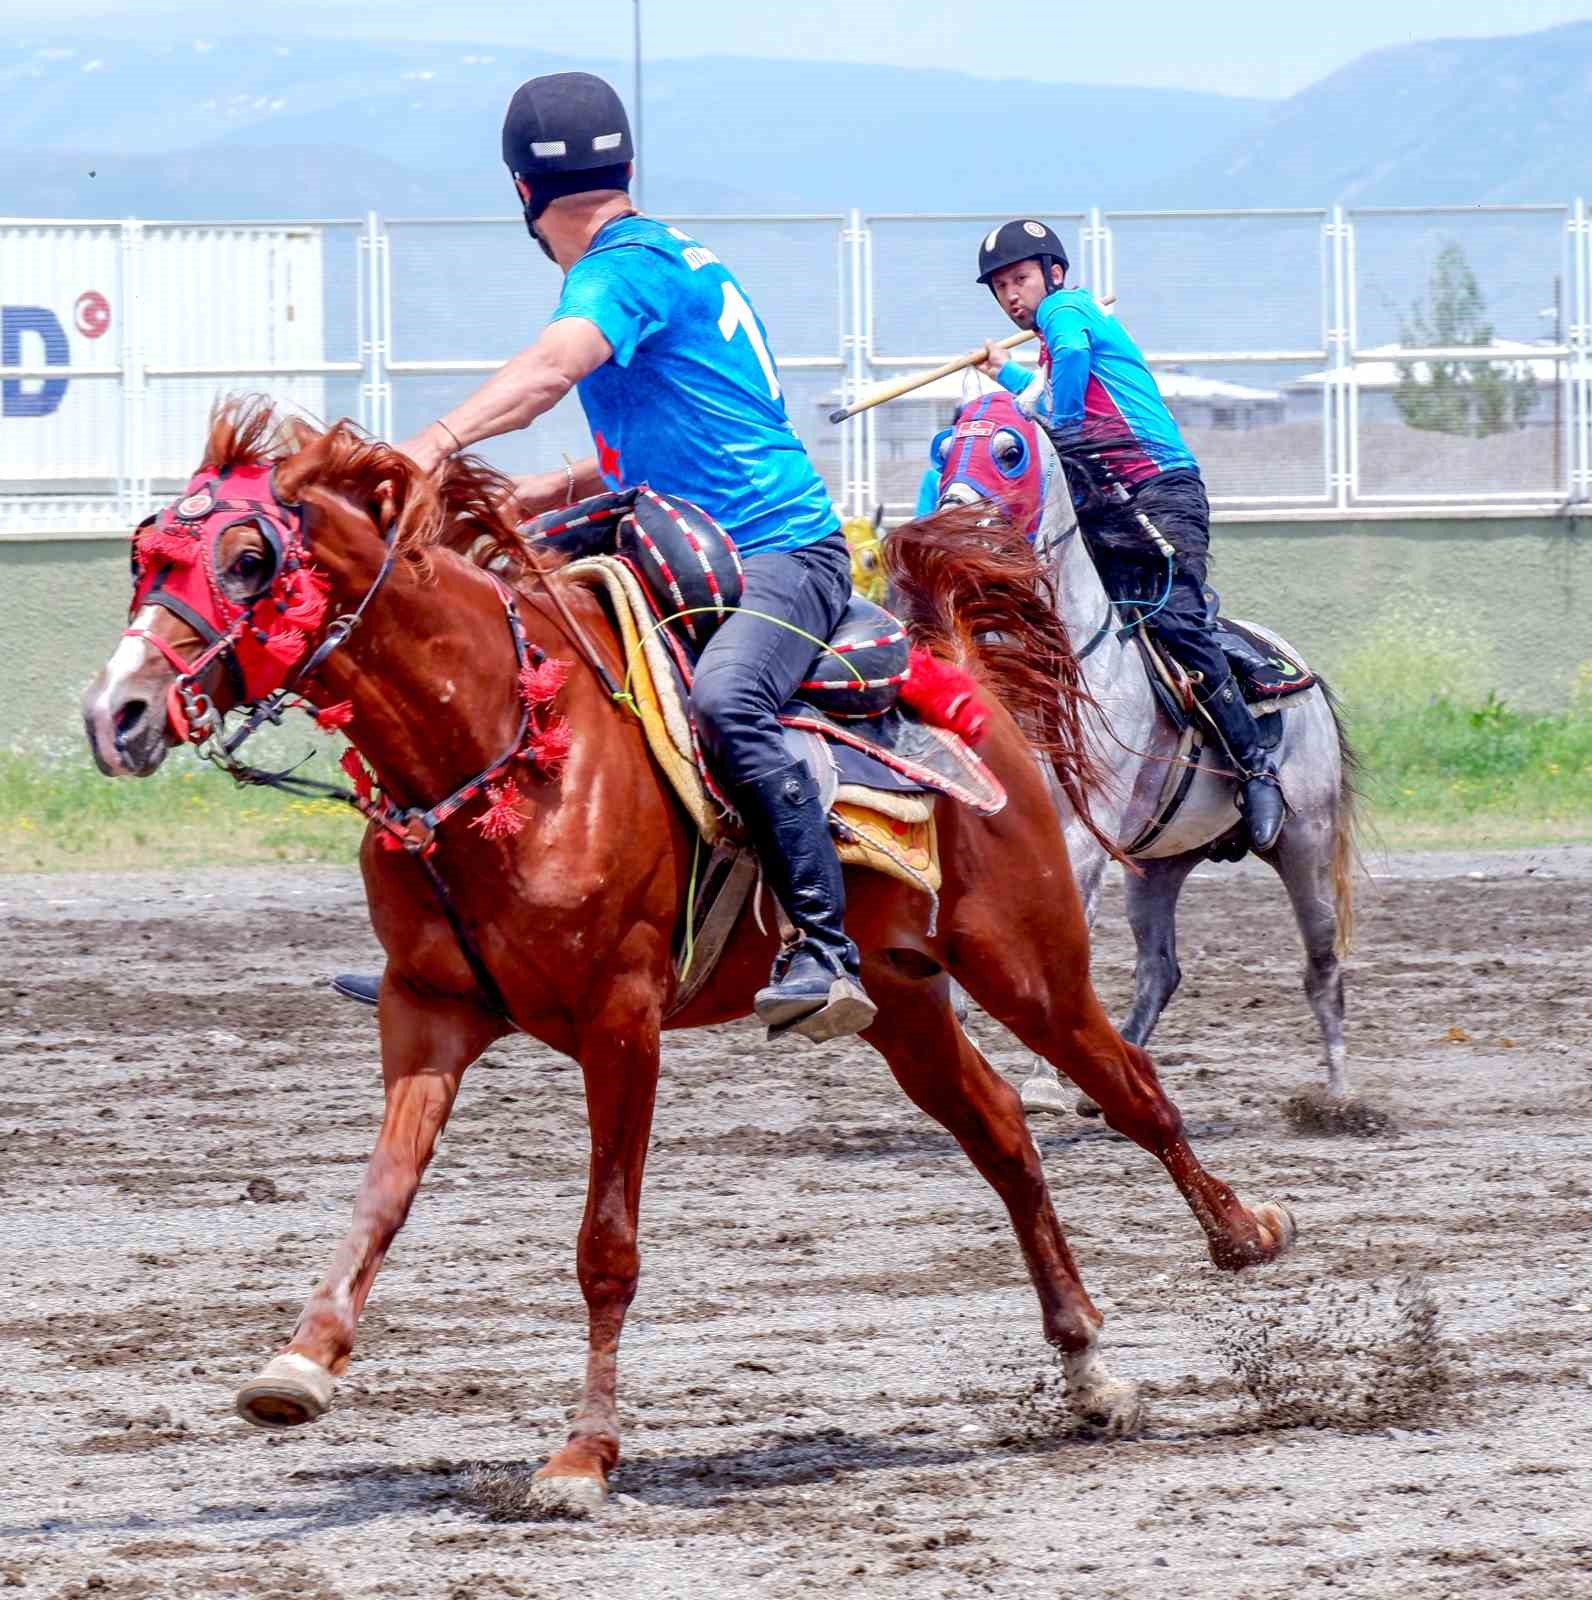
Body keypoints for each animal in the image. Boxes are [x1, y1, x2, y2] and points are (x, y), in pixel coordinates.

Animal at [80, 400, 1292, 1510]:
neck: (506, 739)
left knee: (1131, 1089)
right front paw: (300, 1362)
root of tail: (965, 686)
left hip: (1030, 965)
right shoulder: (425, 1012)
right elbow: (380, 1194)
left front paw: (581, 1457)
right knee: (1001, 1135)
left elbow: (605, 1247)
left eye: (249, 560)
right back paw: (1087, 1368)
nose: (117, 712)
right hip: (902, 1003)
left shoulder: (620, 1026)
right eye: (145, 557)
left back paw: (1245, 1235)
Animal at [928, 390, 1363, 1113]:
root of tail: (1294, 666)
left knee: (1322, 966)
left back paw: (1339, 1097)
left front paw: (1042, 1080)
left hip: (1306, 840)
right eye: (945, 448)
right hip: (1158, 865)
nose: (954, 521)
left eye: (1009, 451)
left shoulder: (1082, 835)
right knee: (1161, 968)